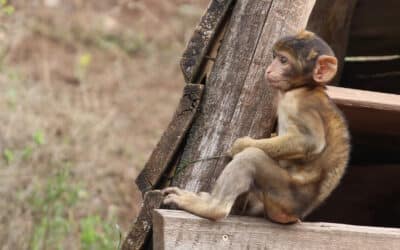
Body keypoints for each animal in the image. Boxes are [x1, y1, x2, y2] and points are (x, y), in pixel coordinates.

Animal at [162, 30, 350, 224]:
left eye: (283, 60)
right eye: (275, 57)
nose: (269, 69)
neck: (306, 87)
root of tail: (294, 215)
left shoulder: (299, 104)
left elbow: (310, 142)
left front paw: (241, 145)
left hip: (283, 196)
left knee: (251, 158)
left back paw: (212, 208)